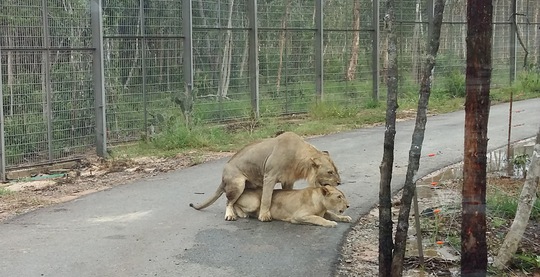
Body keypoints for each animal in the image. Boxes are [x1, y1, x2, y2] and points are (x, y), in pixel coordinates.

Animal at [190, 130, 342, 221]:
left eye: (336, 170)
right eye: (330, 172)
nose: (339, 183)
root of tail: (223, 173)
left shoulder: (288, 180)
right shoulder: (269, 176)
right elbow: (266, 198)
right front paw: (264, 216)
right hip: (237, 183)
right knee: (229, 201)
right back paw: (231, 215)